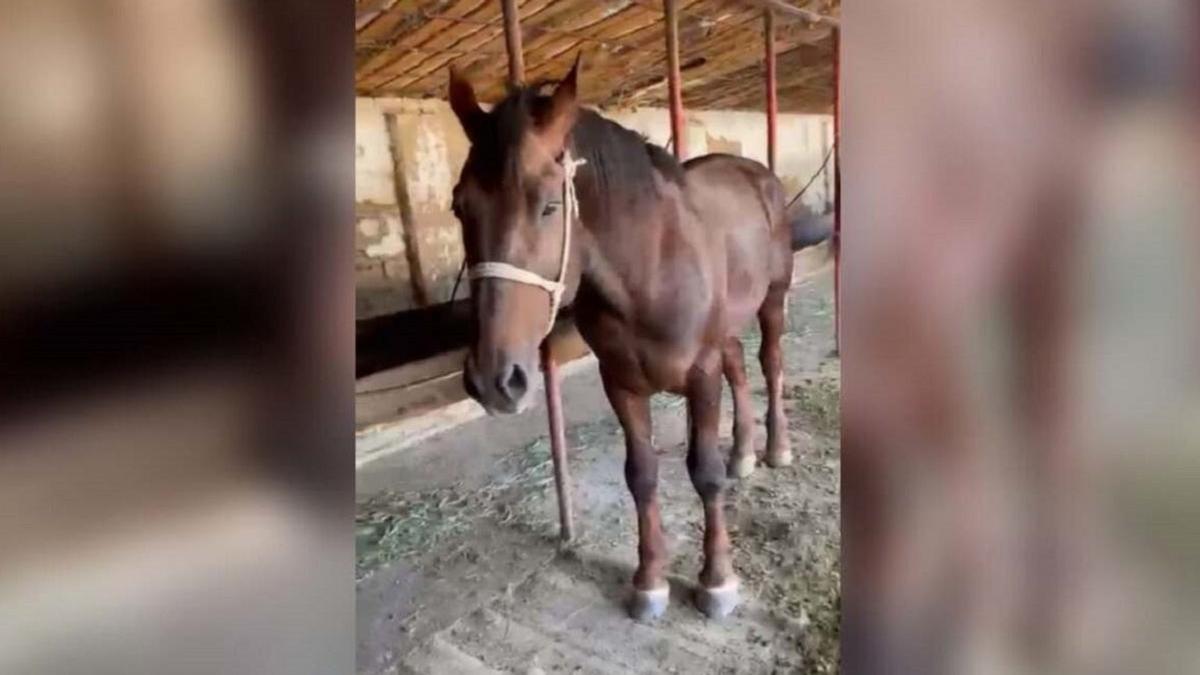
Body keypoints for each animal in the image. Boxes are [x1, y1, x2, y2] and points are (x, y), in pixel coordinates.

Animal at [448, 59, 825, 619]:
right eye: (460, 207)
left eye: (549, 205)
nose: (496, 379)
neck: (650, 266)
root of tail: (757, 174)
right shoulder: (621, 381)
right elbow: (641, 473)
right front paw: (649, 582)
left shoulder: (700, 373)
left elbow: (704, 471)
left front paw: (717, 581)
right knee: (740, 366)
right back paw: (743, 453)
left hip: (772, 300)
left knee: (770, 363)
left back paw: (776, 448)